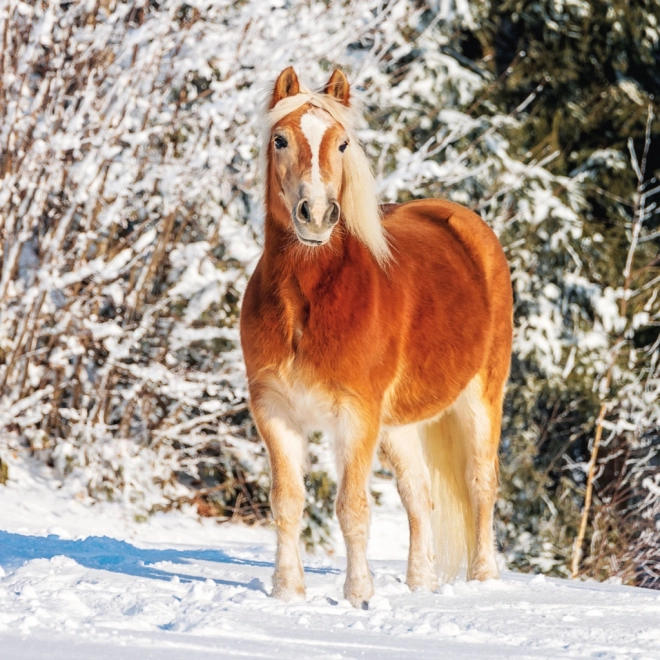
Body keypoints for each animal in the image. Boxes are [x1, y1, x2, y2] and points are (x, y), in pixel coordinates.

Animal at [240, 67, 512, 608]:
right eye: (280, 140)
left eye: (343, 143)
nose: (316, 214)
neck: (306, 301)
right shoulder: (275, 412)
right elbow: (287, 502)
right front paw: (286, 592)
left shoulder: (356, 416)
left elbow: (352, 508)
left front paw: (359, 596)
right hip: (399, 426)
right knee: (419, 496)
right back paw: (420, 584)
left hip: (480, 400)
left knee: (481, 484)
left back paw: (484, 580)